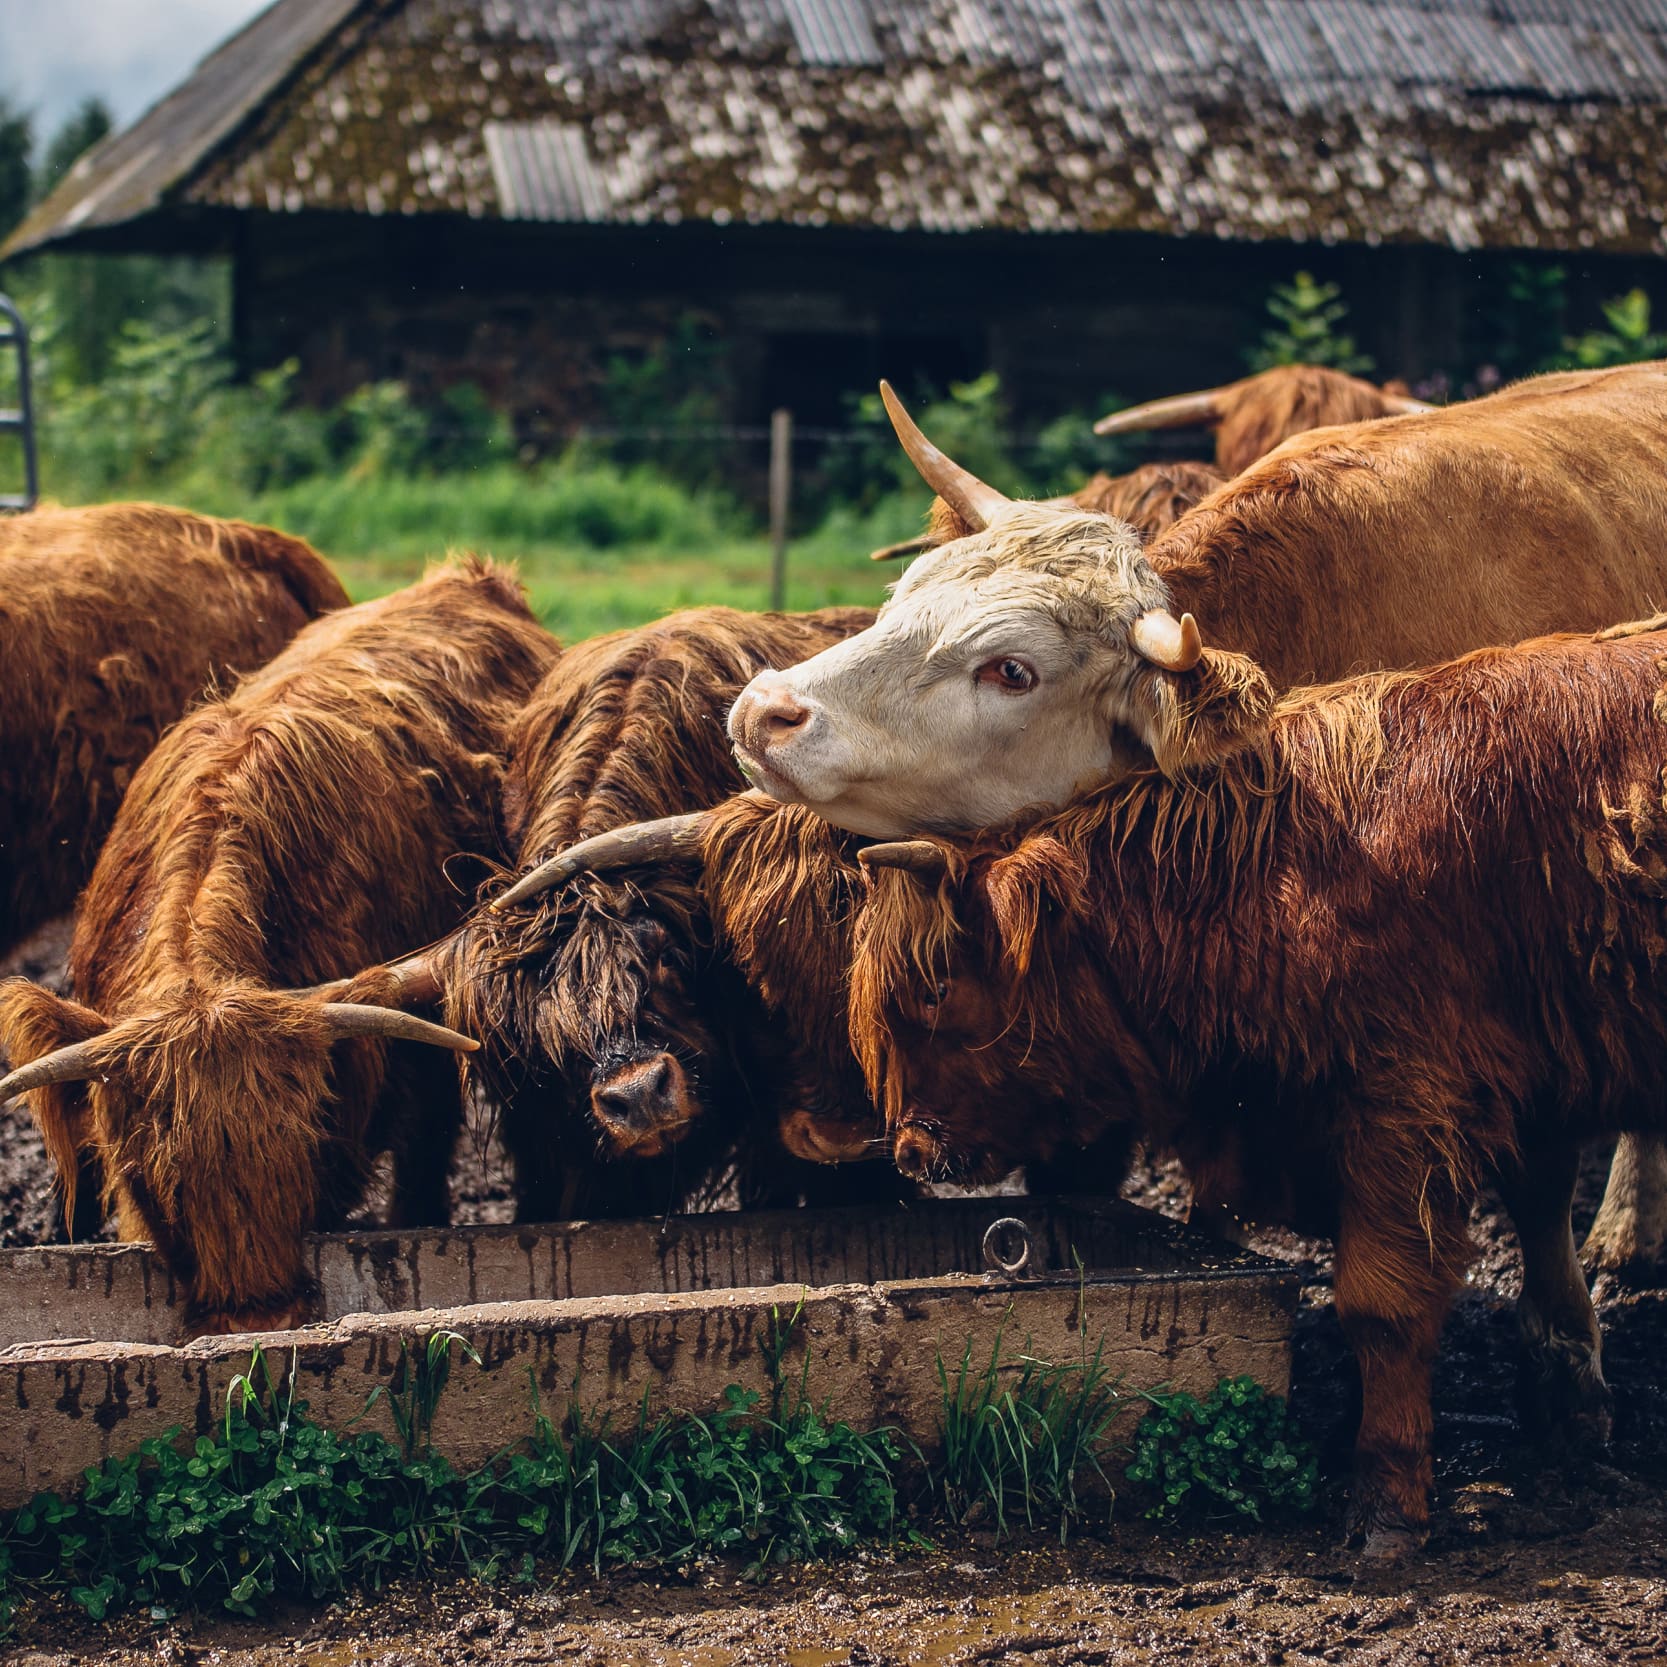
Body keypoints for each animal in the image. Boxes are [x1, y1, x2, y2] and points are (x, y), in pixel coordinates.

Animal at [838, 617, 1667, 1556]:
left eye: (937, 990)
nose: (910, 1147)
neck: (1286, 869)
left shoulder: (1403, 1103)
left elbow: (1380, 1305)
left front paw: (1383, 1500)